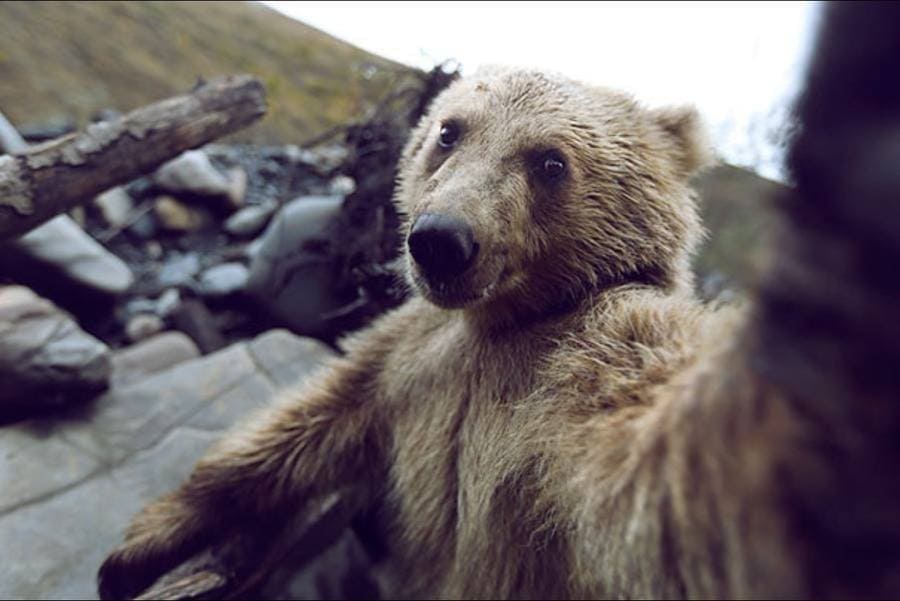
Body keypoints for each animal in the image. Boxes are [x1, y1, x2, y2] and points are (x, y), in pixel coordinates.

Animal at [96, 11, 900, 592]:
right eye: (449, 131)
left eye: (549, 161)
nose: (440, 240)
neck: (504, 321)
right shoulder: (410, 353)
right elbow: (308, 416)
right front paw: (143, 540)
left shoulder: (574, 385)